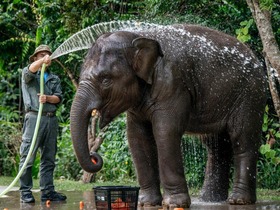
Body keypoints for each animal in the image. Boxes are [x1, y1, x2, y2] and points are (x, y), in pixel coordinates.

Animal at [69, 24, 266, 208]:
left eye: (105, 80)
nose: (95, 156)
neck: (138, 37)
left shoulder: (172, 85)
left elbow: (165, 132)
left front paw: (174, 204)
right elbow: (137, 137)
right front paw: (147, 203)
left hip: (250, 96)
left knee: (242, 139)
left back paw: (238, 200)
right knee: (215, 145)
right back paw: (210, 200)